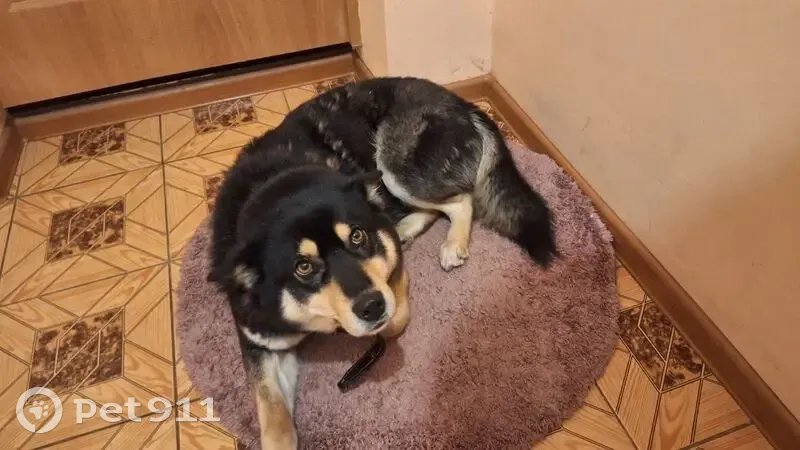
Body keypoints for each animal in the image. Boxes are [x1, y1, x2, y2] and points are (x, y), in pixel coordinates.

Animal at [208, 76, 556, 448]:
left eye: (357, 236)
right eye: (303, 267)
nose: (371, 306)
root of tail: (462, 104)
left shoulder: (389, 271)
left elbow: (395, 316)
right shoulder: (262, 341)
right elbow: (272, 414)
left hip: (393, 169)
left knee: (460, 200)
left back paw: (450, 243)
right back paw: (408, 228)